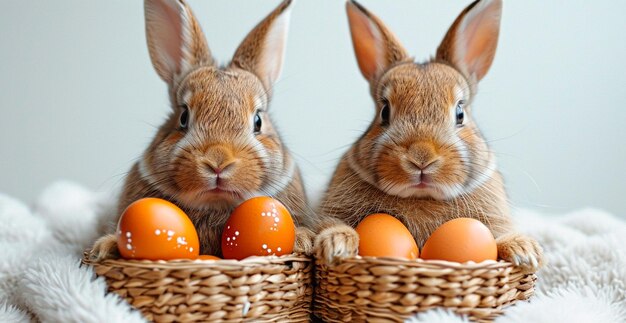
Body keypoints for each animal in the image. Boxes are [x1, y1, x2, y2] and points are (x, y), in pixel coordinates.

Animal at [89, 0, 316, 262]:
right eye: (183, 117)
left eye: (258, 121)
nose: (218, 162)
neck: (214, 204)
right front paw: (105, 247)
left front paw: (302, 240)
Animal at [312, 0, 540, 274]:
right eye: (384, 111)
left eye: (460, 113)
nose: (421, 157)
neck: (421, 196)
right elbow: (328, 225)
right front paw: (336, 246)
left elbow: (500, 236)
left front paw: (524, 252)